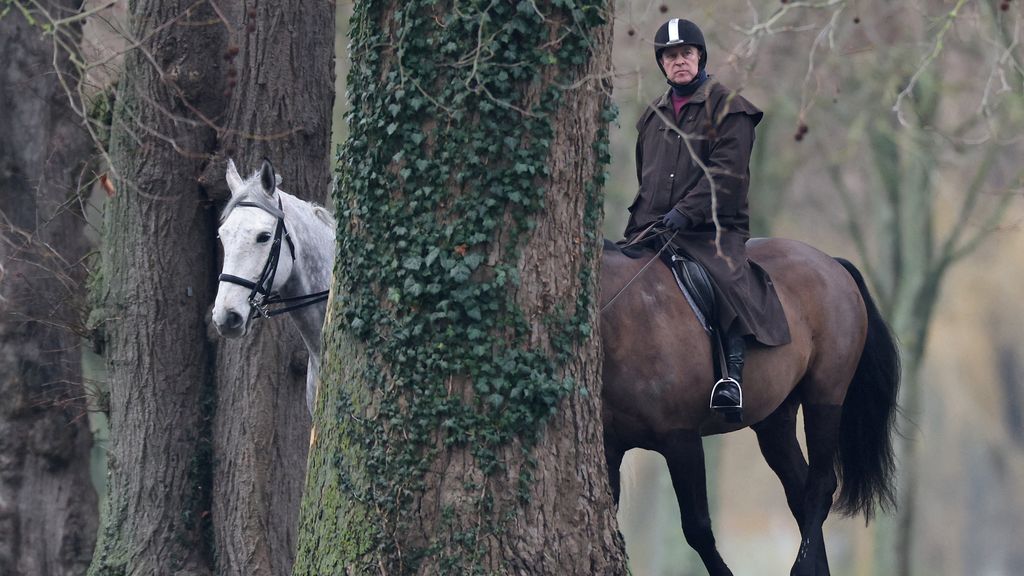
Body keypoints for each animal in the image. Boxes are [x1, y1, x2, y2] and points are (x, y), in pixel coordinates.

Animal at [600, 236, 900, 576]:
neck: (627, 317)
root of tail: (832, 263)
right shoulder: (610, 447)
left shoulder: (681, 440)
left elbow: (697, 528)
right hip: (775, 421)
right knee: (800, 491)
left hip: (826, 397)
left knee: (821, 486)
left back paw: (802, 567)